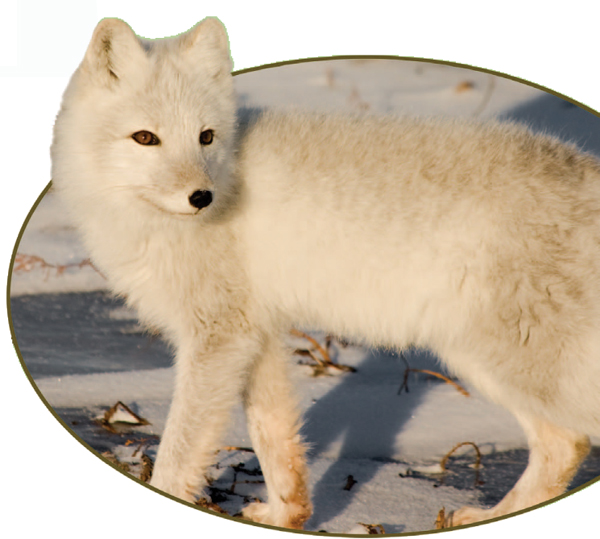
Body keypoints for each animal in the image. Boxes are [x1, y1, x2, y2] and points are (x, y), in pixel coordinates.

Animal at [51, 16, 600, 532]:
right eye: (145, 138)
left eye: (205, 137)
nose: (201, 197)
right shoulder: (256, 335)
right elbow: (275, 440)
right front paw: (286, 516)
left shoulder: (218, 336)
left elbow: (178, 455)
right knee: (562, 444)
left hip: (496, 359)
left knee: (568, 442)